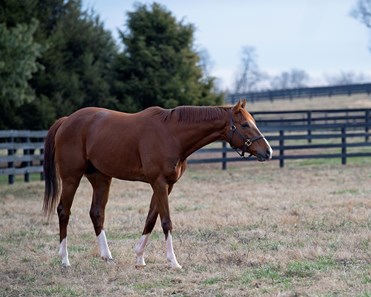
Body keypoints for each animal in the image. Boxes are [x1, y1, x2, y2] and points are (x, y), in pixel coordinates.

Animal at [42, 99, 274, 268]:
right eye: (245, 124)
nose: (268, 151)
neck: (172, 133)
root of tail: (67, 120)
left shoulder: (166, 185)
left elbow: (151, 219)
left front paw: (139, 256)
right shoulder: (159, 183)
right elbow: (166, 221)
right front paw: (173, 262)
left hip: (101, 178)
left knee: (97, 213)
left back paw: (107, 256)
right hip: (71, 178)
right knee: (64, 211)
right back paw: (64, 259)